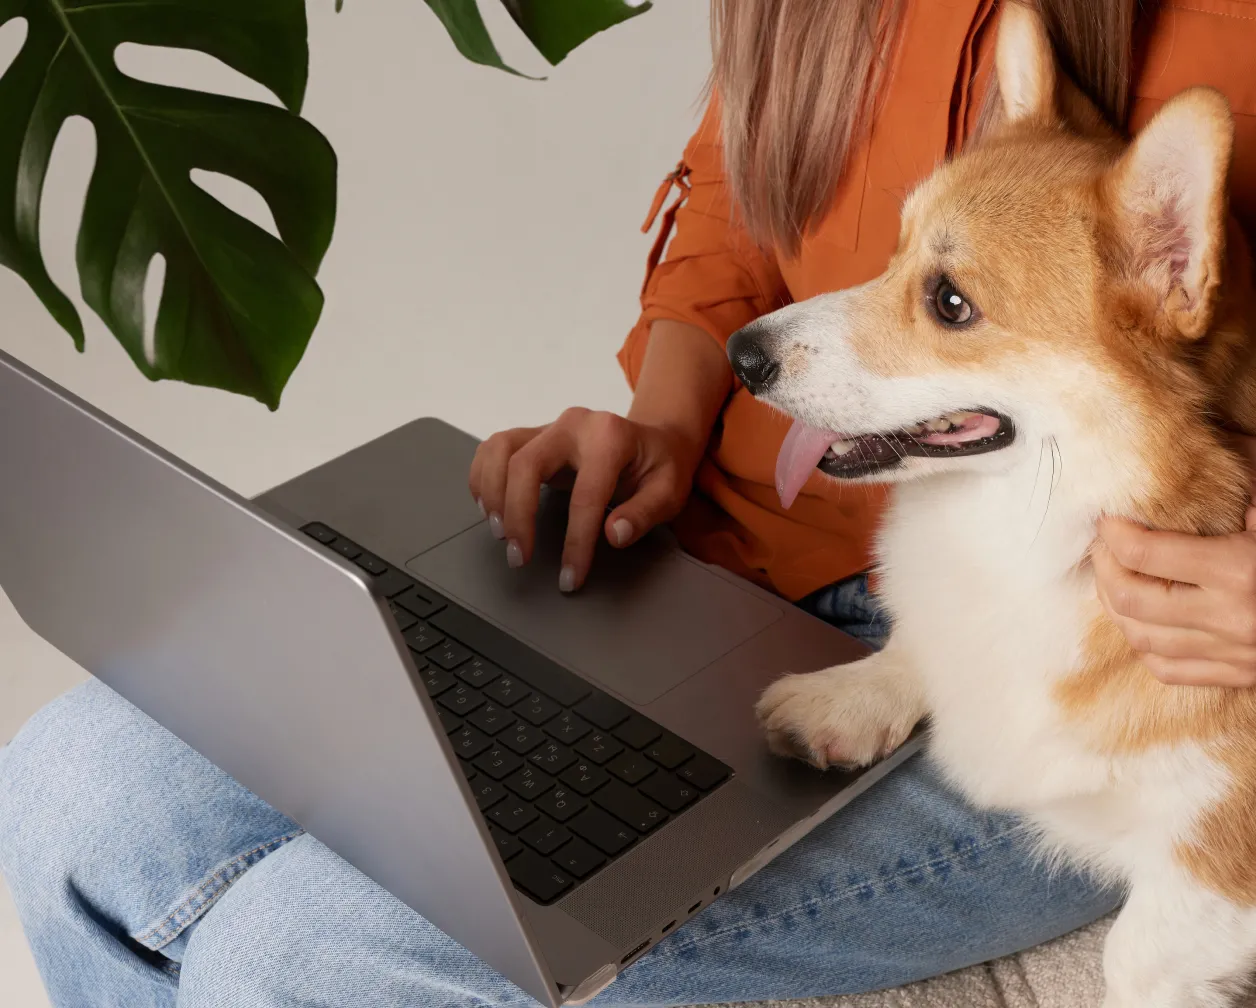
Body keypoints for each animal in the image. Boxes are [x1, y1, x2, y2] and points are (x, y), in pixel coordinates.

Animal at [723, 3, 1256, 1004]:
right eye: (893, 250)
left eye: (951, 303)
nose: (741, 356)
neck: (1044, 539)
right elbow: (917, 646)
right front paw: (845, 699)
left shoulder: (1214, 858)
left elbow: (1135, 954)